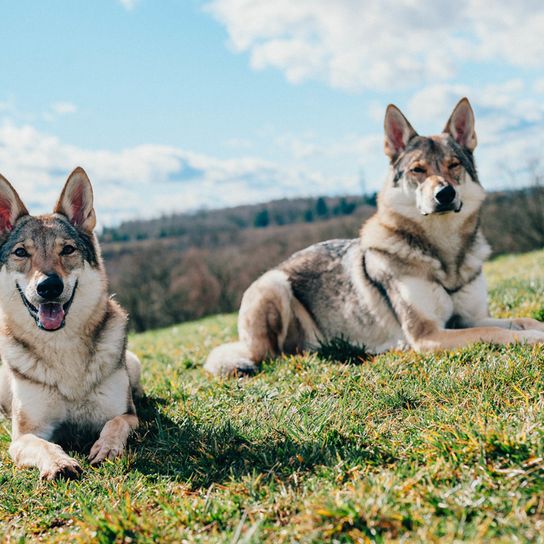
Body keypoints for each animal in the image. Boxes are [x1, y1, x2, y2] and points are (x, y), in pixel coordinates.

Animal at [0, 167, 142, 480]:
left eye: (66, 250)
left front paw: (107, 448)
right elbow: (43, 444)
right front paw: (58, 463)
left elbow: (114, 424)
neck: (62, 348)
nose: (49, 286)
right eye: (21, 253)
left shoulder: (127, 415)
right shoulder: (22, 437)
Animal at [205, 99, 544, 378]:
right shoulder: (428, 334)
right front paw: (532, 339)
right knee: (276, 355)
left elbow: (522, 320)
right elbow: (499, 334)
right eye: (418, 170)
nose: (444, 194)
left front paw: (534, 327)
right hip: (273, 285)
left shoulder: (470, 318)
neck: (444, 255)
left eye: (454, 165)